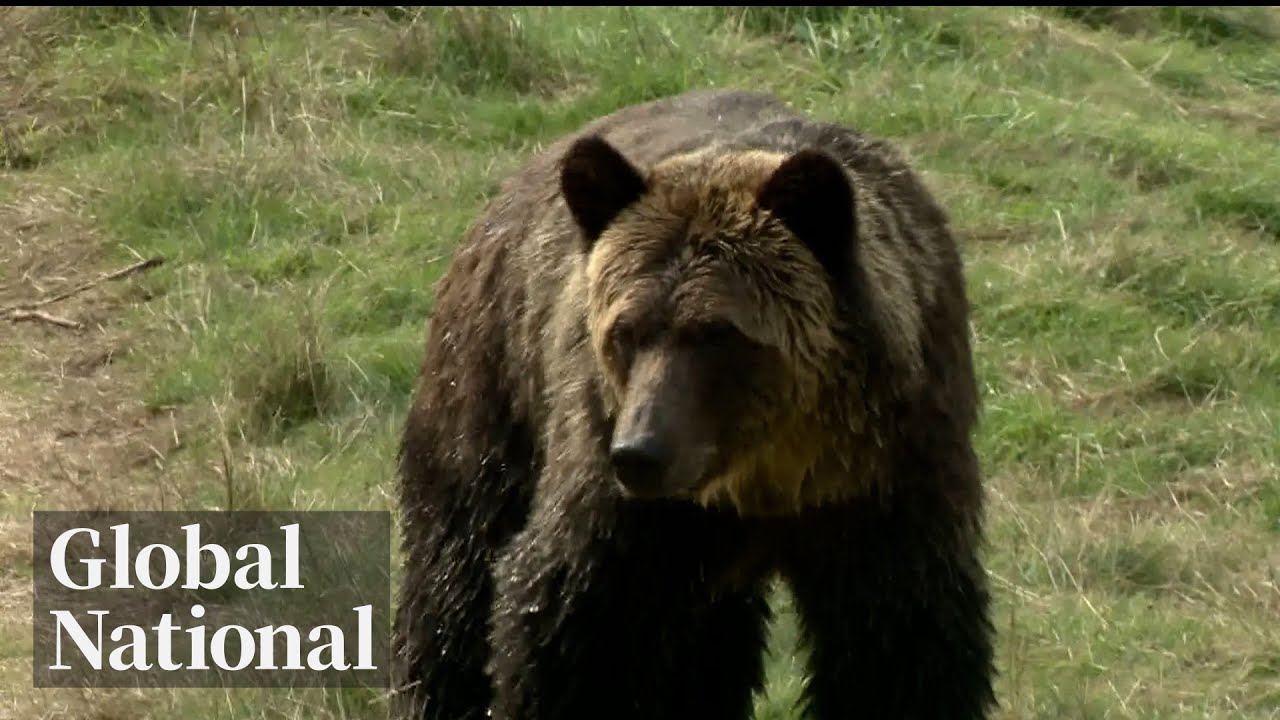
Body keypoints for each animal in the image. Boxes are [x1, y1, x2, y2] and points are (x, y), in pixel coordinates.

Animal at [391, 87, 996, 720]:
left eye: (718, 333)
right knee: (457, 566)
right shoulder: (622, 494)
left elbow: (900, 646)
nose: (640, 453)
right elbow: (568, 615)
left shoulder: (888, 481)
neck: (771, 473)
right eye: (625, 331)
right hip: (494, 382)